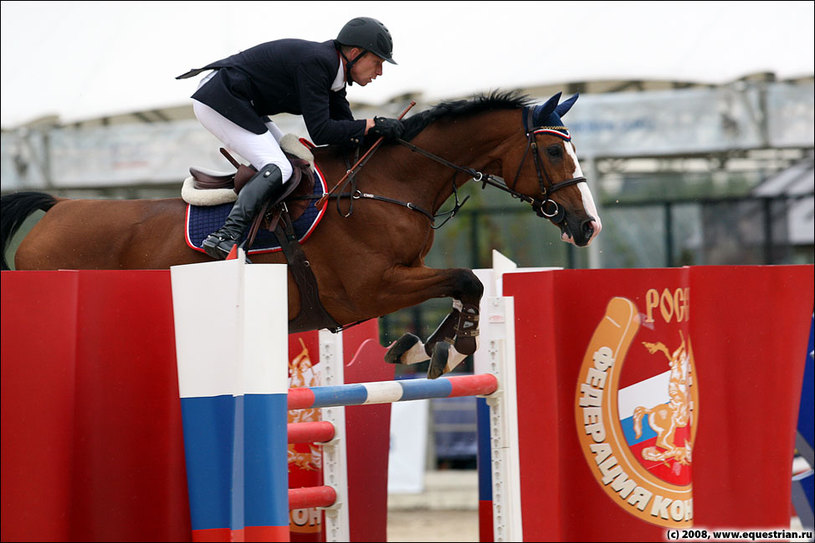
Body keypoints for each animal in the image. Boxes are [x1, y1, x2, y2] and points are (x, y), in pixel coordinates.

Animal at [0, 90, 600, 378]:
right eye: (553, 151)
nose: (588, 225)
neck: (384, 187)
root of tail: (57, 208)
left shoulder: (403, 275)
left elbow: (464, 283)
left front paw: (423, 349)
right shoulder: (371, 288)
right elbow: (464, 280)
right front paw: (454, 350)